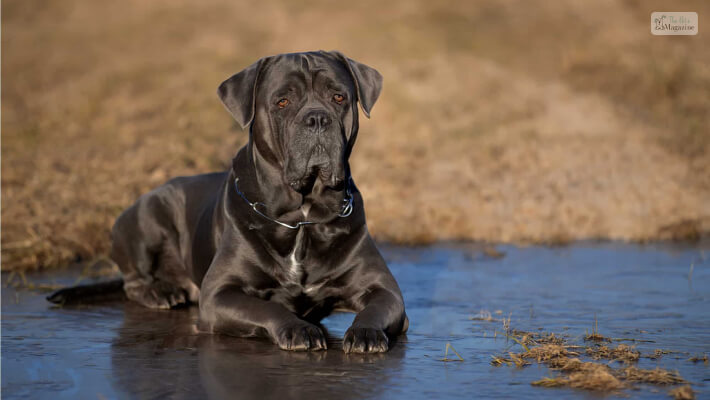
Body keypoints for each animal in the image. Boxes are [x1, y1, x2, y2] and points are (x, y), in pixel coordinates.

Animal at [48, 50, 412, 354]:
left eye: (338, 97)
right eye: (282, 101)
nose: (317, 119)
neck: (301, 217)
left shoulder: (385, 291)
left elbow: (376, 307)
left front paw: (365, 333)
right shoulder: (220, 294)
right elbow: (268, 307)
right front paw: (299, 329)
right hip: (146, 215)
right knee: (132, 281)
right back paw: (160, 292)